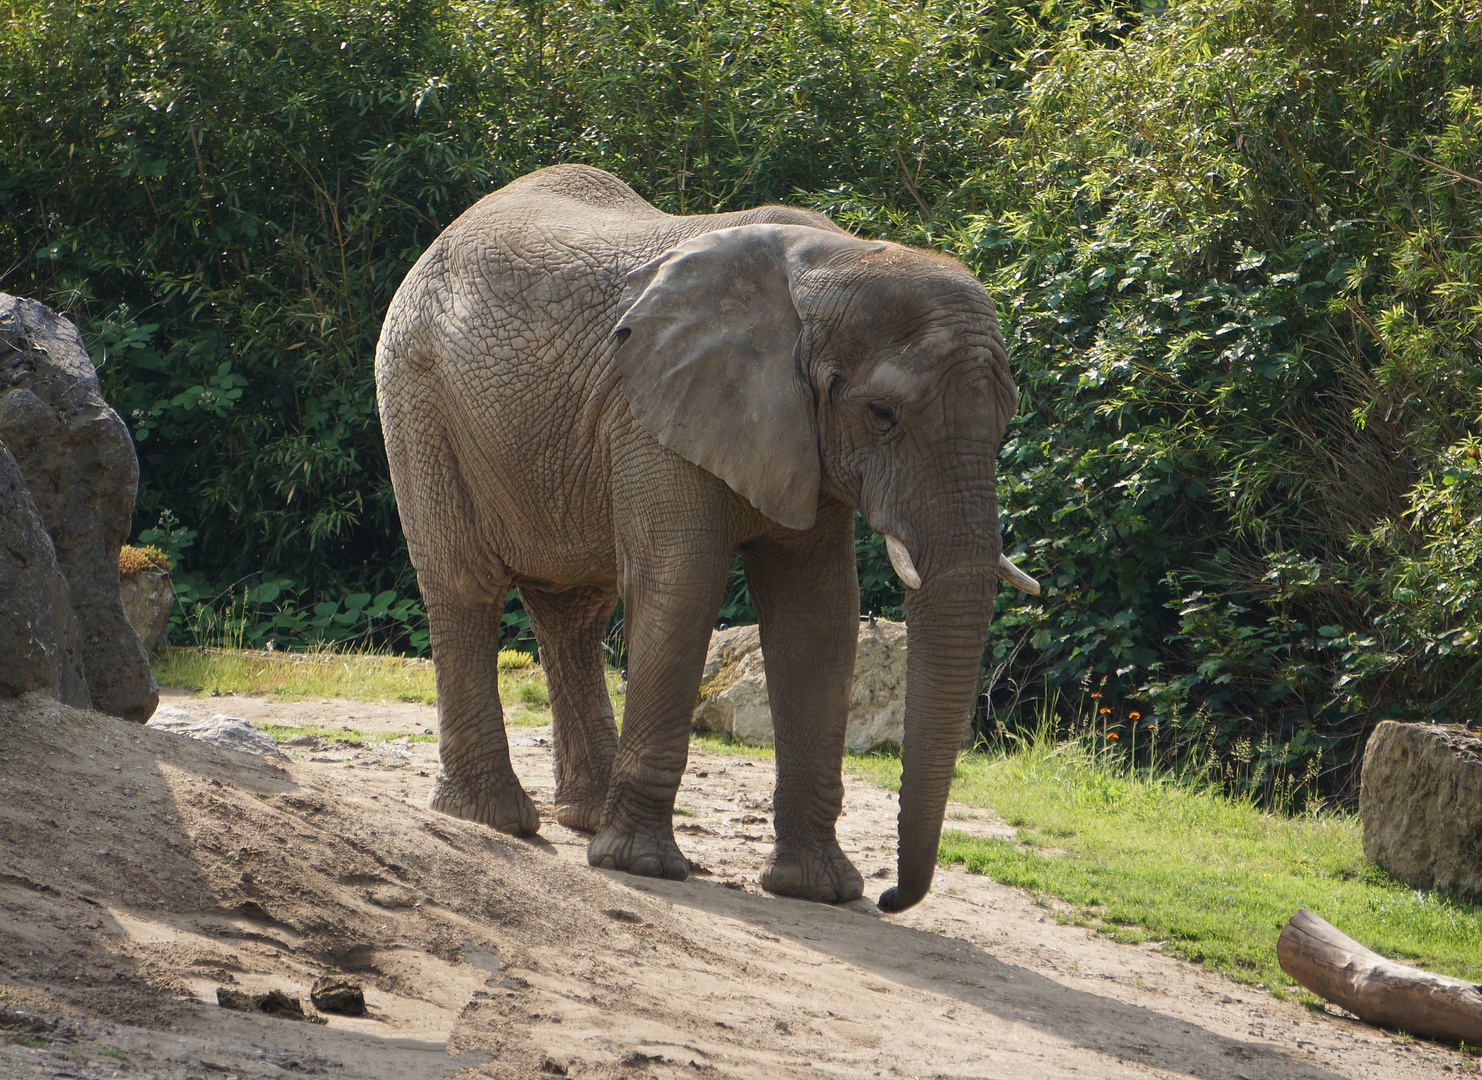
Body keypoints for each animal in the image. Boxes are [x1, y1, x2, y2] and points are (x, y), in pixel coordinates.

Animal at [376, 166, 1037, 912]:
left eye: (1007, 416)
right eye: (881, 413)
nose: (893, 897)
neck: (831, 263)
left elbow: (817, 615)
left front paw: (817, 890)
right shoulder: (650, 410)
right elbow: (681, 583)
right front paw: (641, 867)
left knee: (573, 611)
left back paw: (583, 816)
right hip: (417, 394)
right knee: (466, 585)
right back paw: (496, 820)